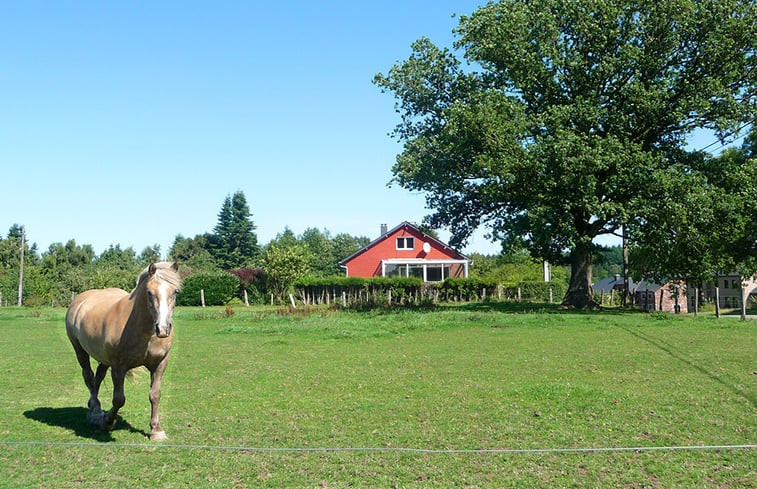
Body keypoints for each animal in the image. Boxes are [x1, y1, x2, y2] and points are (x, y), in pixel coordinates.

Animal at [65, 262, 182, 440]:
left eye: (174, 292)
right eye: (149, 293)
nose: (162, 329)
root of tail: (79, 300)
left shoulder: (160, 364)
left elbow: (155, 395)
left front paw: (156, 430)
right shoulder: (119, 367)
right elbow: (119, 399)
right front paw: (107, 422)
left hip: (104, 358)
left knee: (98, 376)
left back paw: (93, 408)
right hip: (80, 350)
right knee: (88, 376)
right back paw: (96, 412)